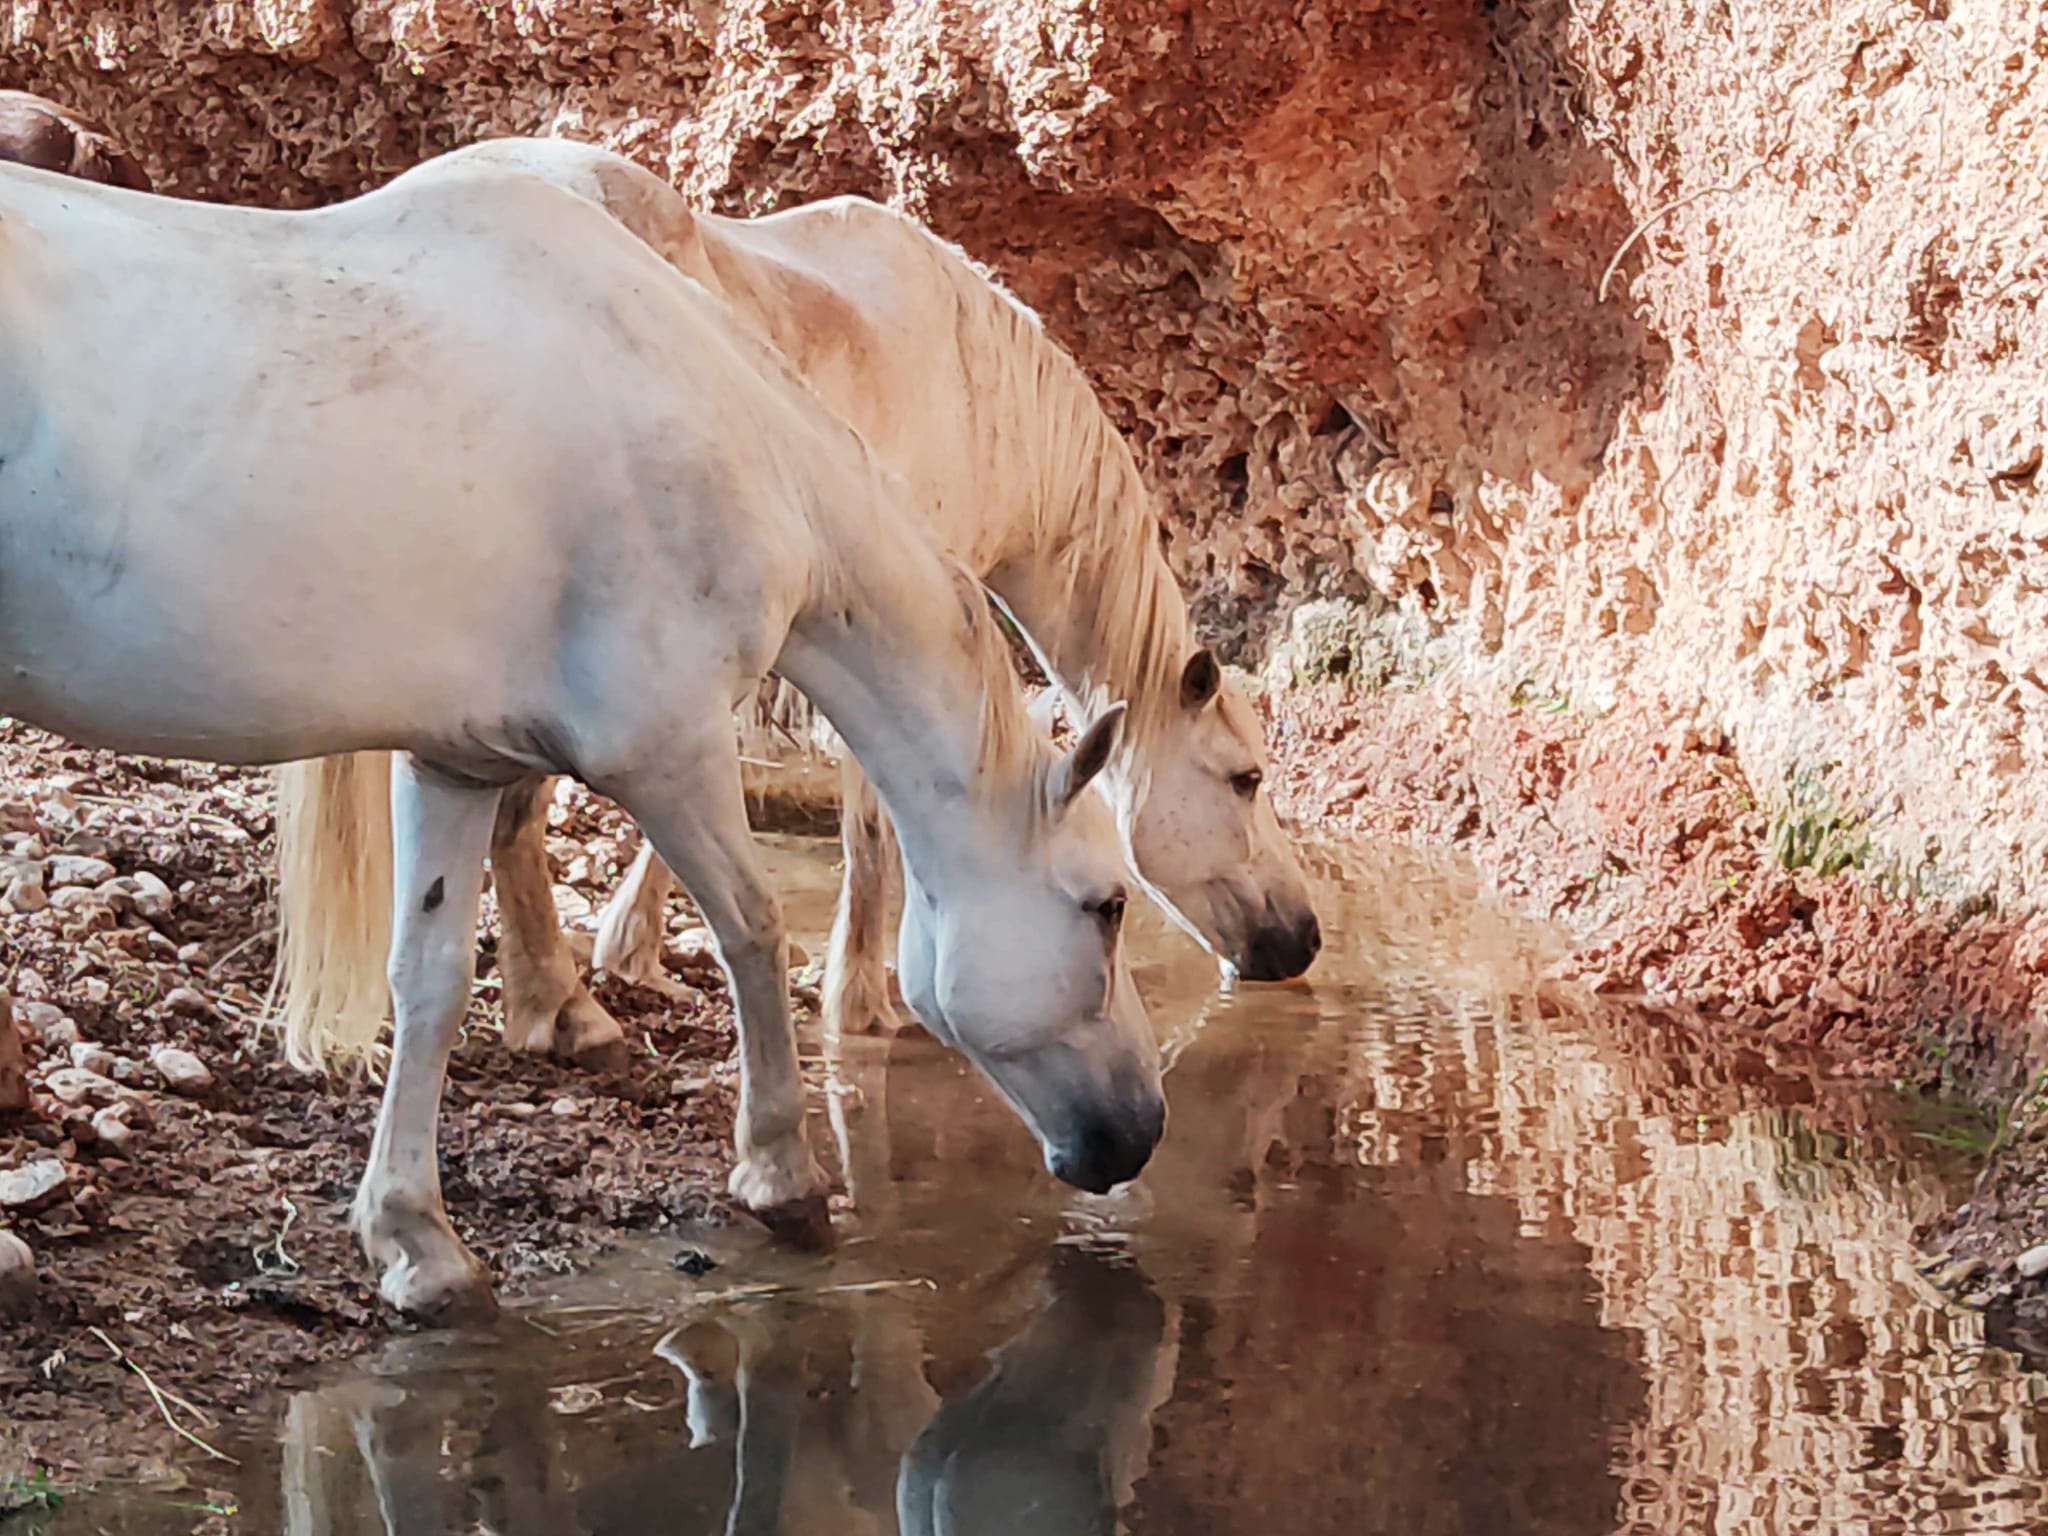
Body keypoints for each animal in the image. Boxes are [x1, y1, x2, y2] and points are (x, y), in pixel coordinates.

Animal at [0, 150, 1164, 1320]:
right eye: (1105, 906)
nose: (1139, 1132)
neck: (718, 425)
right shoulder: (668, 749)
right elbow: (749, 930)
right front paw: (781, 1178)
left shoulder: (454, 762)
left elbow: (429, 981)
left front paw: (417, 1244)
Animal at [276, 136, 1321, 1080]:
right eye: (1245, 779)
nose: (1300, 939)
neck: (977, 390)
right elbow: (872, 824)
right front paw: (861, 998)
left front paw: (634, 942)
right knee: (517, 820)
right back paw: (559, 1010)